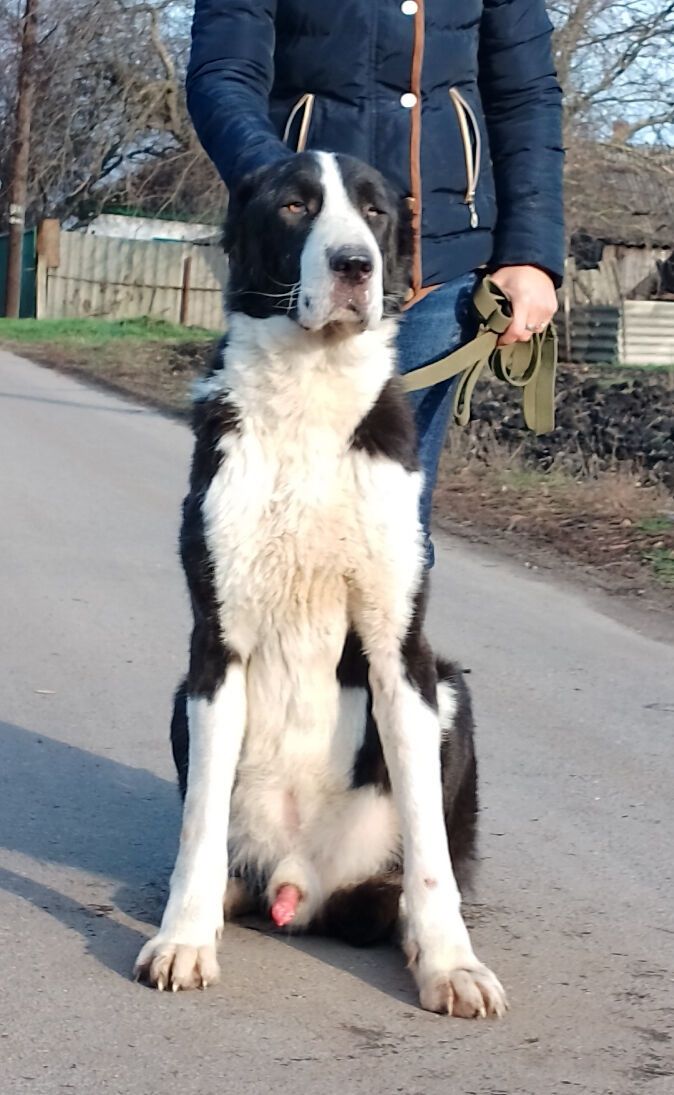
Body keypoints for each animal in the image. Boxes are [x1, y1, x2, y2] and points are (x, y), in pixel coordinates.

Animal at [134, 147, 505, 1016]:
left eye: (374, 210)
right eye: (296, 204)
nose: (355, 267)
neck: (311, 393)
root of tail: (301, 885)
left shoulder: (403, 652)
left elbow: (433, 851)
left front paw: (451, 962)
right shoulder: (216, 647)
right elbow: (199, 823)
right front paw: (184, 938)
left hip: (452, 689)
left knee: (416, 868)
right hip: (184, 699)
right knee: (222, 852)